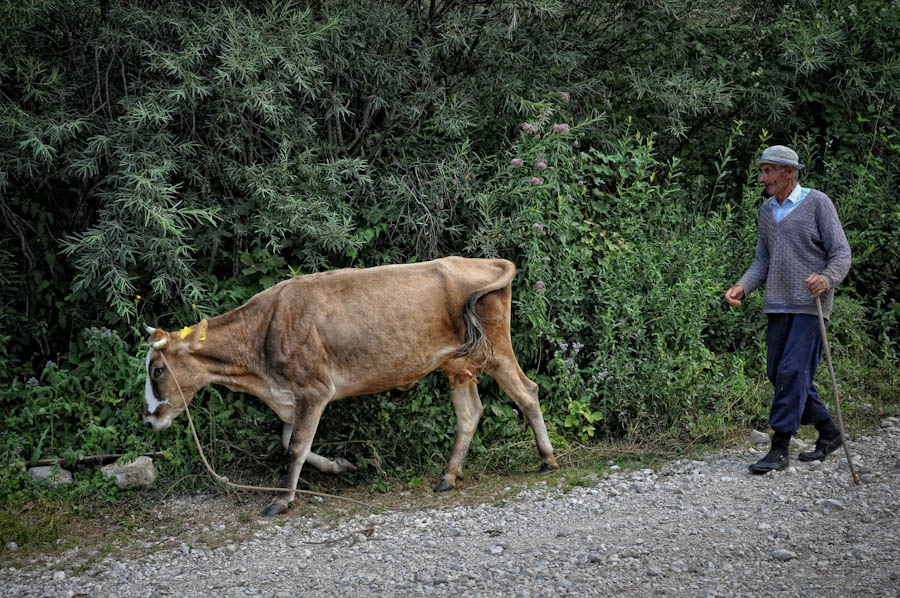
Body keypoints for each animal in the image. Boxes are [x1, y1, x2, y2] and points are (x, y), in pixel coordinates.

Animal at [142, 256, 556, 516]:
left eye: (158, 370)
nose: (149, 419)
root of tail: (483, 262)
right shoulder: (291, 396)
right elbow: (290, 443)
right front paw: (340, 465)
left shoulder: (313, 390)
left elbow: (294, 448)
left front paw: (281, 501)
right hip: (456, 364)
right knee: (470, 414)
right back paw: (448, 477)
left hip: (495, 350)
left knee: (527, 392)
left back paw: (547, 459)